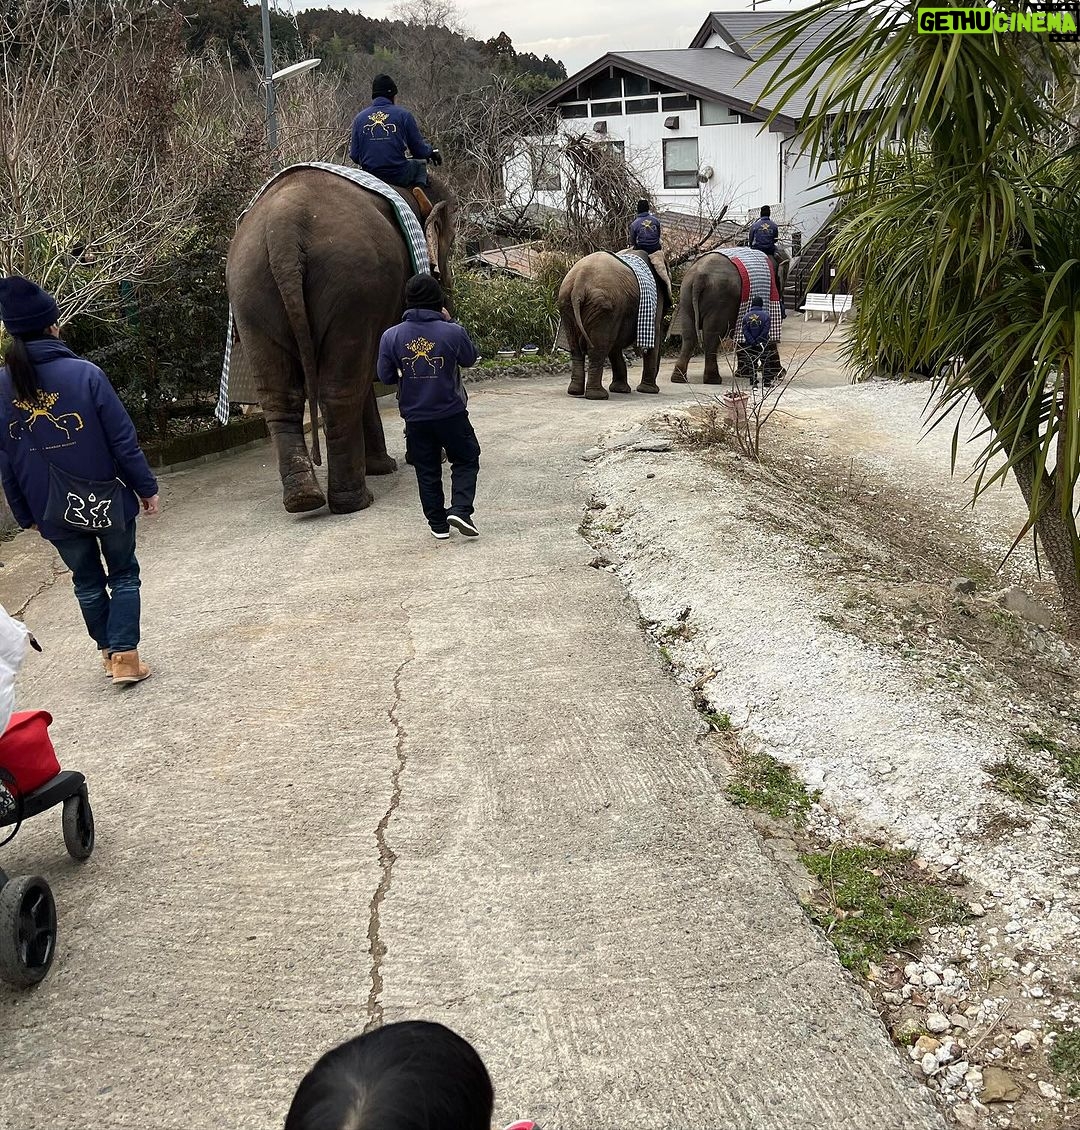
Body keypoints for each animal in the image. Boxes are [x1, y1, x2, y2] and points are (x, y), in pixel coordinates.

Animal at [226, 167, 453, 514]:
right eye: (450, 246)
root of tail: (283, 230)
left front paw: (385, 466)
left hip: (250, 289)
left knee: (282, 396)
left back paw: (303, 499)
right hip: (352, 284)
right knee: (341, 389)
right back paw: (354, 501)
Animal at [557, 251, 670, 399]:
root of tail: (578, 285)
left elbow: (614, 346)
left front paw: (620, 390)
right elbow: (654, 335)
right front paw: (649, 391)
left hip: (568, 303)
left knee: (577, 348)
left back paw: (575, 392)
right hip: (603, 307)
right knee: (598, 348)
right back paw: (598, 396)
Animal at [669, 252, 790, 384]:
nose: (785, 314)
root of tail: (698, 278)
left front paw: (742, 374)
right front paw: (779, 374)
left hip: (686, 294)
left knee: (689, 335)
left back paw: (679, 378)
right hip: (720, 299)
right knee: (712, 335)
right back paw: (714, 380)